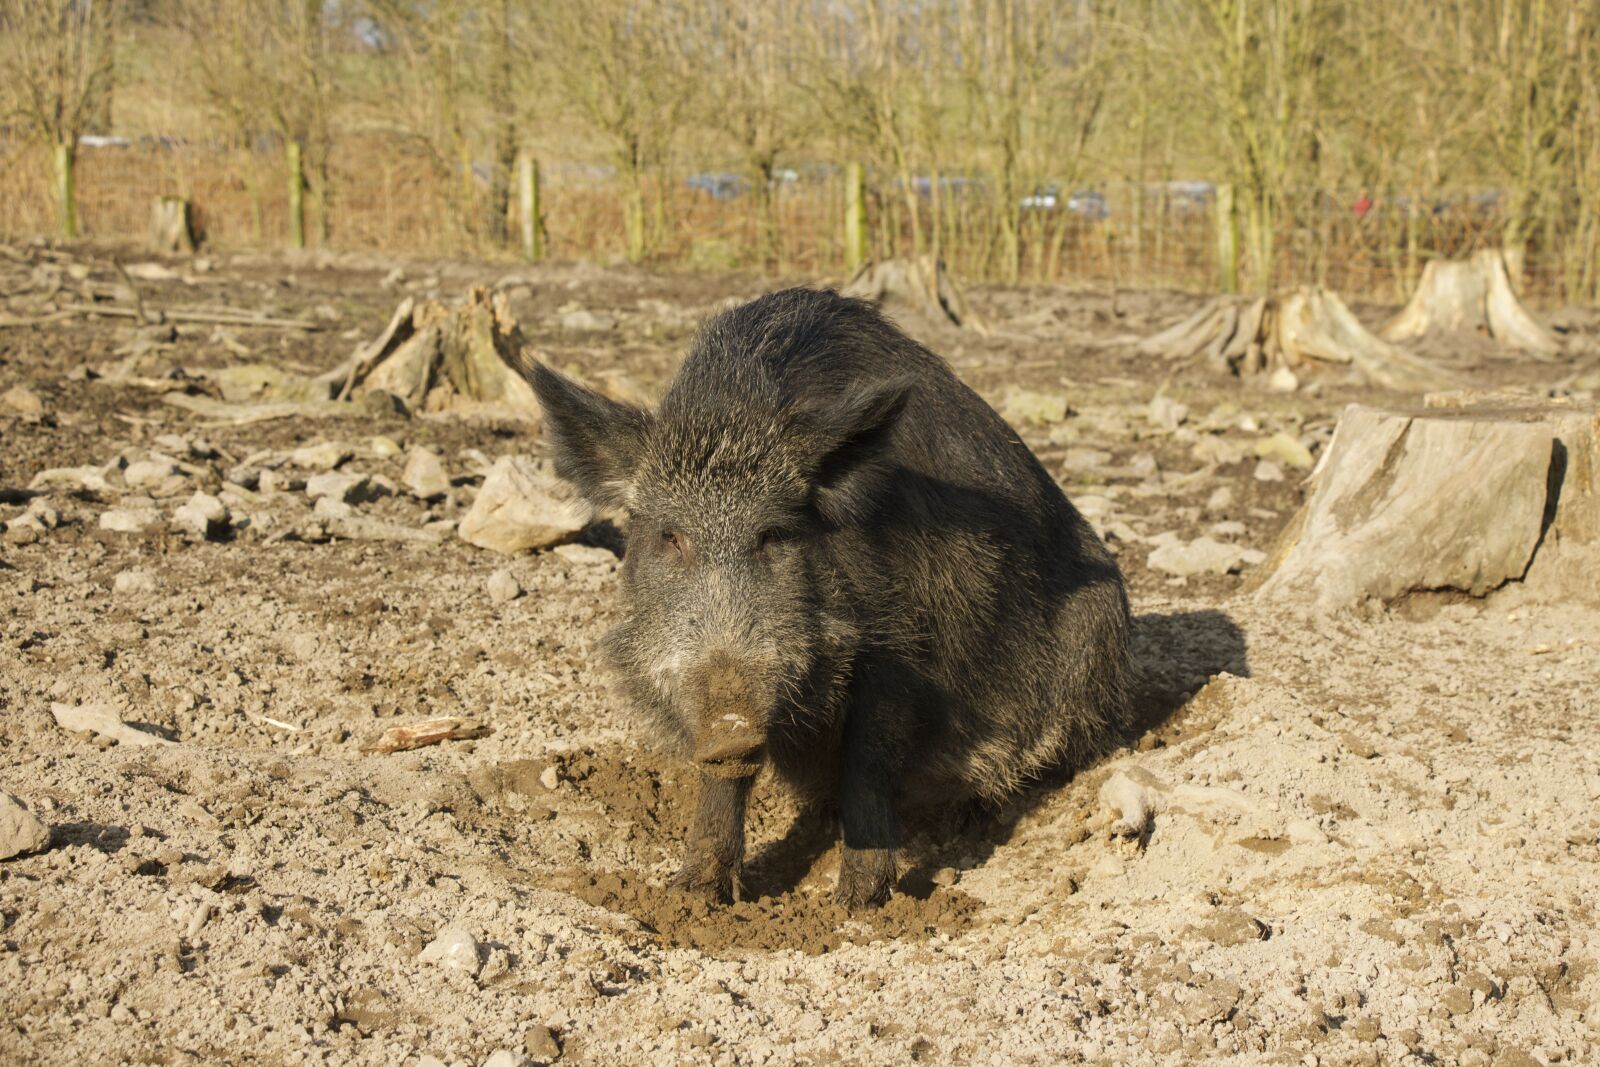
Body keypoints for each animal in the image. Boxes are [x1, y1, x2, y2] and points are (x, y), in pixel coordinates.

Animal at [526, 288, 1130, 909]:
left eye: (774, 535)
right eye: (670, 537)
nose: (732, 722)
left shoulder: (899, 648)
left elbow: (868, 758)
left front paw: (857, 903)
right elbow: (722, 777)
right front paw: (692, 894)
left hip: (1095, 642)